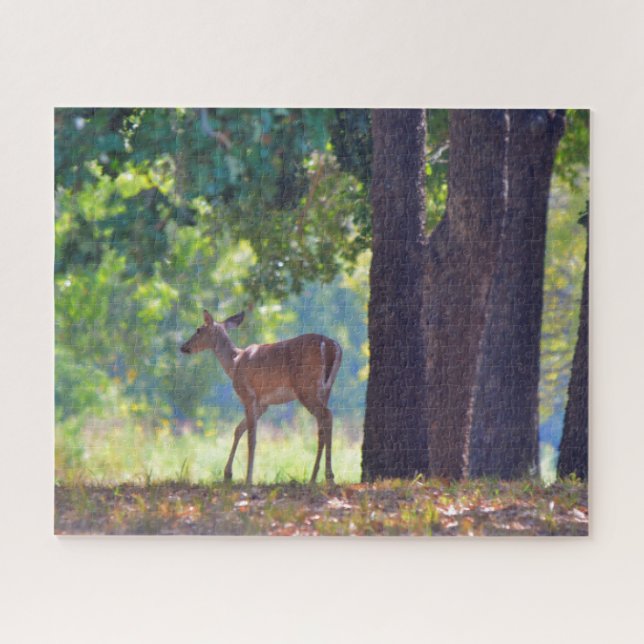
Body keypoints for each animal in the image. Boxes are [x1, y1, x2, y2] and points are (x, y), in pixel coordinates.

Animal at [180, 309, 342, 486]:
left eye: (198, 330)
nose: (183, 347)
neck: (234, 364)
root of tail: (331, 345)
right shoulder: (263, 404)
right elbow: (238, 429)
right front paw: (228, 474)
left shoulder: (248, 395)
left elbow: (251, 438)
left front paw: (248, 478)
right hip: (326, 389)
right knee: (322, 425)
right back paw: (316, 477)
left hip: (306, 387)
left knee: (327, 416)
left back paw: (327, 476)